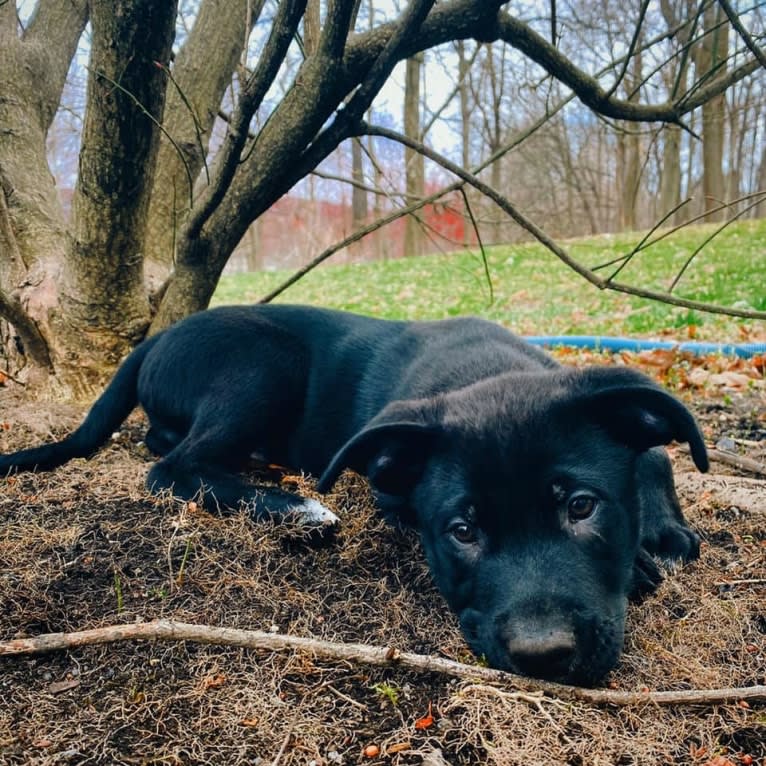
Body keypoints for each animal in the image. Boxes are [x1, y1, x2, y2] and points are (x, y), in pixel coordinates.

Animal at [0, 308, 708, 688]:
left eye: (581, 506)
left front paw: (661, 536)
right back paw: (295, 508)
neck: (486, 373)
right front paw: (644, 563)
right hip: (264, 361)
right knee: (170, 467)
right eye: (462, 530)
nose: (544, 657)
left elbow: (657, 457)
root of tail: (155, 337)